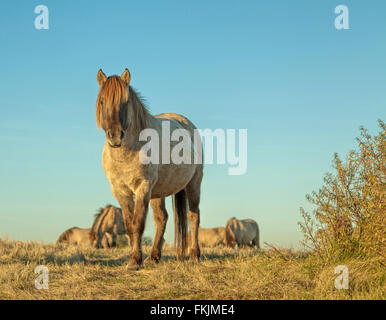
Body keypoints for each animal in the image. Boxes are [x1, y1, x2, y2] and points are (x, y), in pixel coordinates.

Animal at [95, 69, 204, 268]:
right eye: (102, 101)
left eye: (125, 101)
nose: (115, 136)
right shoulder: (120, 191)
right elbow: (130, 224)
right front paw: (134, 257)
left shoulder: (143, 187)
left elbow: (138, 223)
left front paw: (135, 260)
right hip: (158, 192)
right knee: (162, 218)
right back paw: (154, 256)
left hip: (194, 184)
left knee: (194, 216)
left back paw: (194, 255)